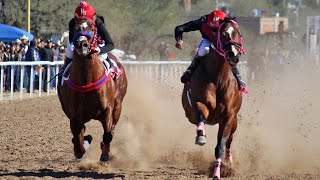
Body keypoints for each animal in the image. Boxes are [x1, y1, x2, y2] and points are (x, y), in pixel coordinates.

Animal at [57, 15, 127, 162]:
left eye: (93, 28)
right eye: (75, 28)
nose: (81, 45)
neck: (87, 80)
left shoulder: (107, 110)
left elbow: (107, 134)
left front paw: (105, 154)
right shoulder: (74, 116)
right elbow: (78, 142)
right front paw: (85, 142)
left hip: (118, 105)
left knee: (112, 128)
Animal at [181, 17, 244, 179]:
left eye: (239, 34)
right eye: (224, 34)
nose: (234, 55)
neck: (218, 78)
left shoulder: (229, 117)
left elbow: (220, 146)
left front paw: (217, 173)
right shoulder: (199, 103)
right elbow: (201, 116)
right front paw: (200, 136)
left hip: (233, 123)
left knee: (228, 142)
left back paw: (229, 162)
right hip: (190, 115)